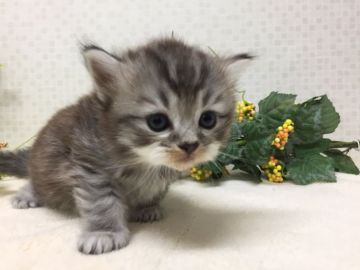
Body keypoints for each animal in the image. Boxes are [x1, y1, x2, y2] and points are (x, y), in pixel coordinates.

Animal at [0, 38, 253, 255]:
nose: (189, 145)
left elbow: (152, 191)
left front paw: (146, 207)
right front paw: (104, 233)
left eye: (207, 119)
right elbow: (101, 203)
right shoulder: (91, 168)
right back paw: (28, 194)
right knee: (37, 180)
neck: (143, 162)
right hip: (45, 167)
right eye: (157, 122)